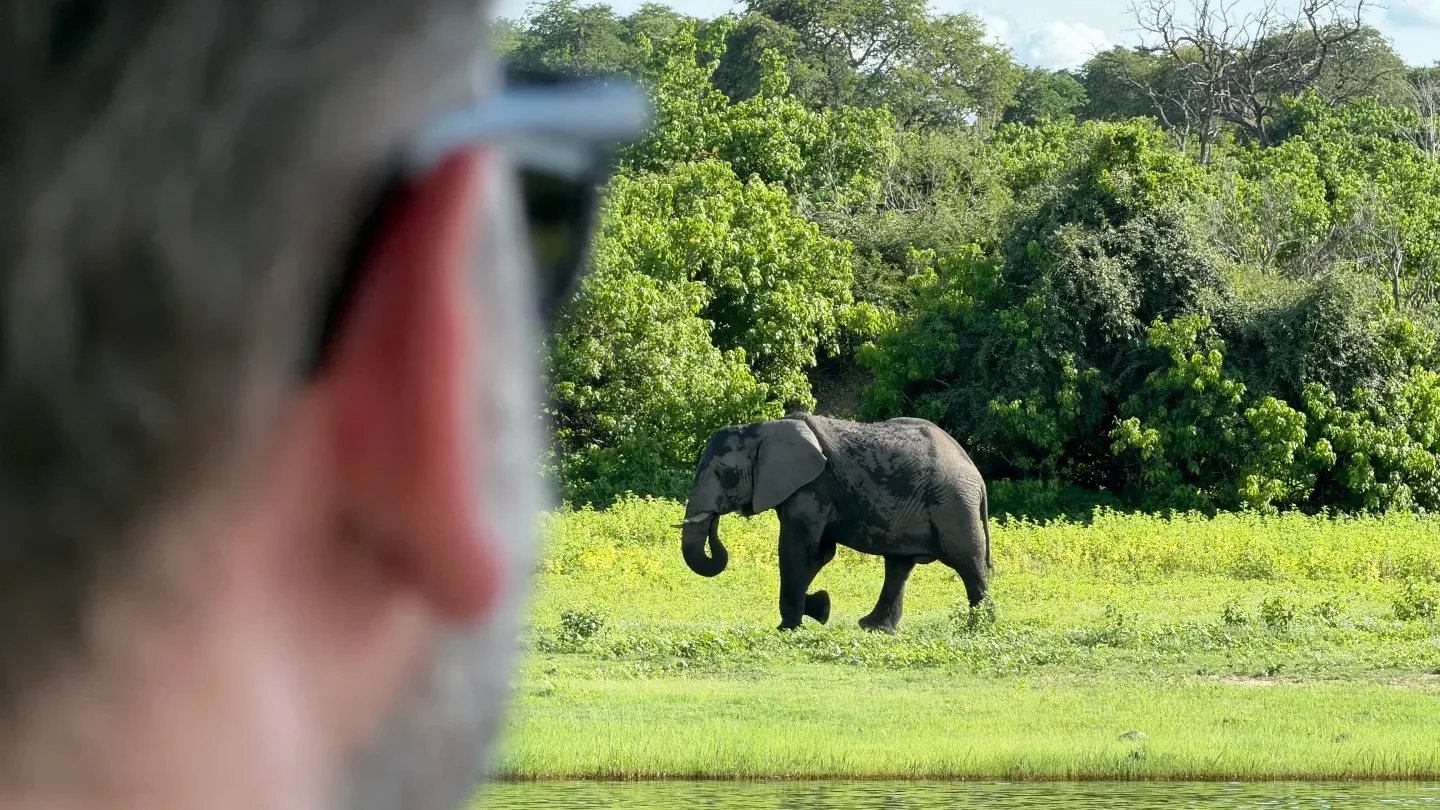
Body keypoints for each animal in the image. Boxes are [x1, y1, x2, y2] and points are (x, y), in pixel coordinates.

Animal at [676, 412, 992, 633]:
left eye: (724, 473)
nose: (714, 519)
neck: (761, 429)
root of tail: (977, 476)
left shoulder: (812, 488)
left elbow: (796, 548)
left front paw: (787, 628)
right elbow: (820, 553)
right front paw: (820, 607)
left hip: (952, 504)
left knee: (967, 561)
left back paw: (979, 627)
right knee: (899, 565)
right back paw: (874, 628)